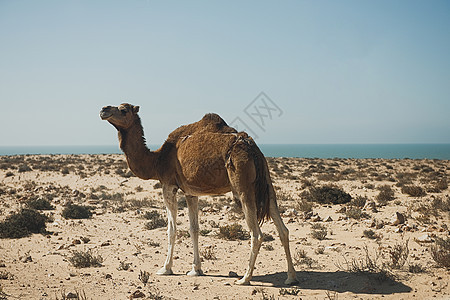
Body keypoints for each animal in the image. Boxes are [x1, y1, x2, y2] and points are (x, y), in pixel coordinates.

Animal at [101, 103, 298, 286]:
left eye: (123, 110)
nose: (104, 110)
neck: (157, 160)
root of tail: (252, 148)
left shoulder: (168, 185)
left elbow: (171, 229)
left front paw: (166, 268)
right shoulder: (190, 192)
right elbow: (194, 229)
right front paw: (196, 269)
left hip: (242, 184)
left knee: (256, 234)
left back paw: (245, 279)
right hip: (267, 183)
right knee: (283, 229)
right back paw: (290, 277)